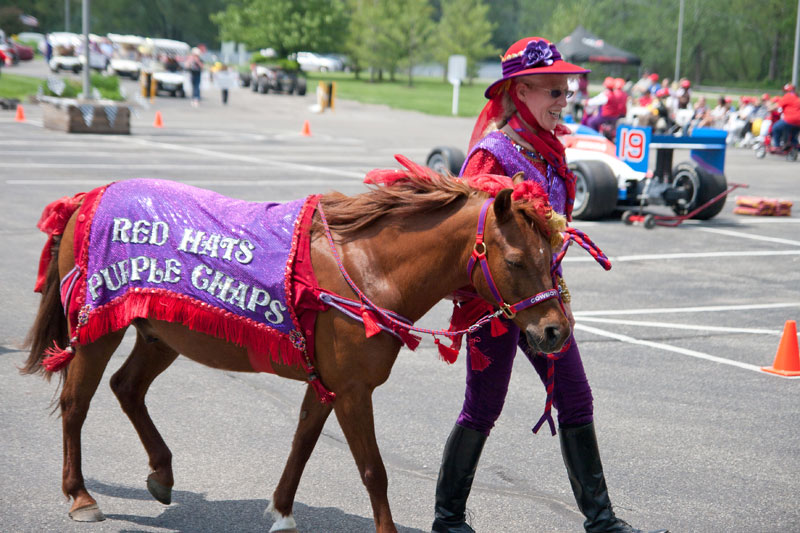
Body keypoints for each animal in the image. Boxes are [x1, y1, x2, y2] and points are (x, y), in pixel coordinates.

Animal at [23, 170, 568, 532]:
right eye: (515, 261)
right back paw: (80, 496)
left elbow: (303, 441)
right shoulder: (352, 391)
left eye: (552, 257)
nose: (556, 331)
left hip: (162, 335)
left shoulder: (326, 383)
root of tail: (88, 197)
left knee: (127, 388)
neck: (367, 267)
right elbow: (374, 472)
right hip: (98, 331)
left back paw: (161, 472)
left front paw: (282, 511)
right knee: (76, 404)